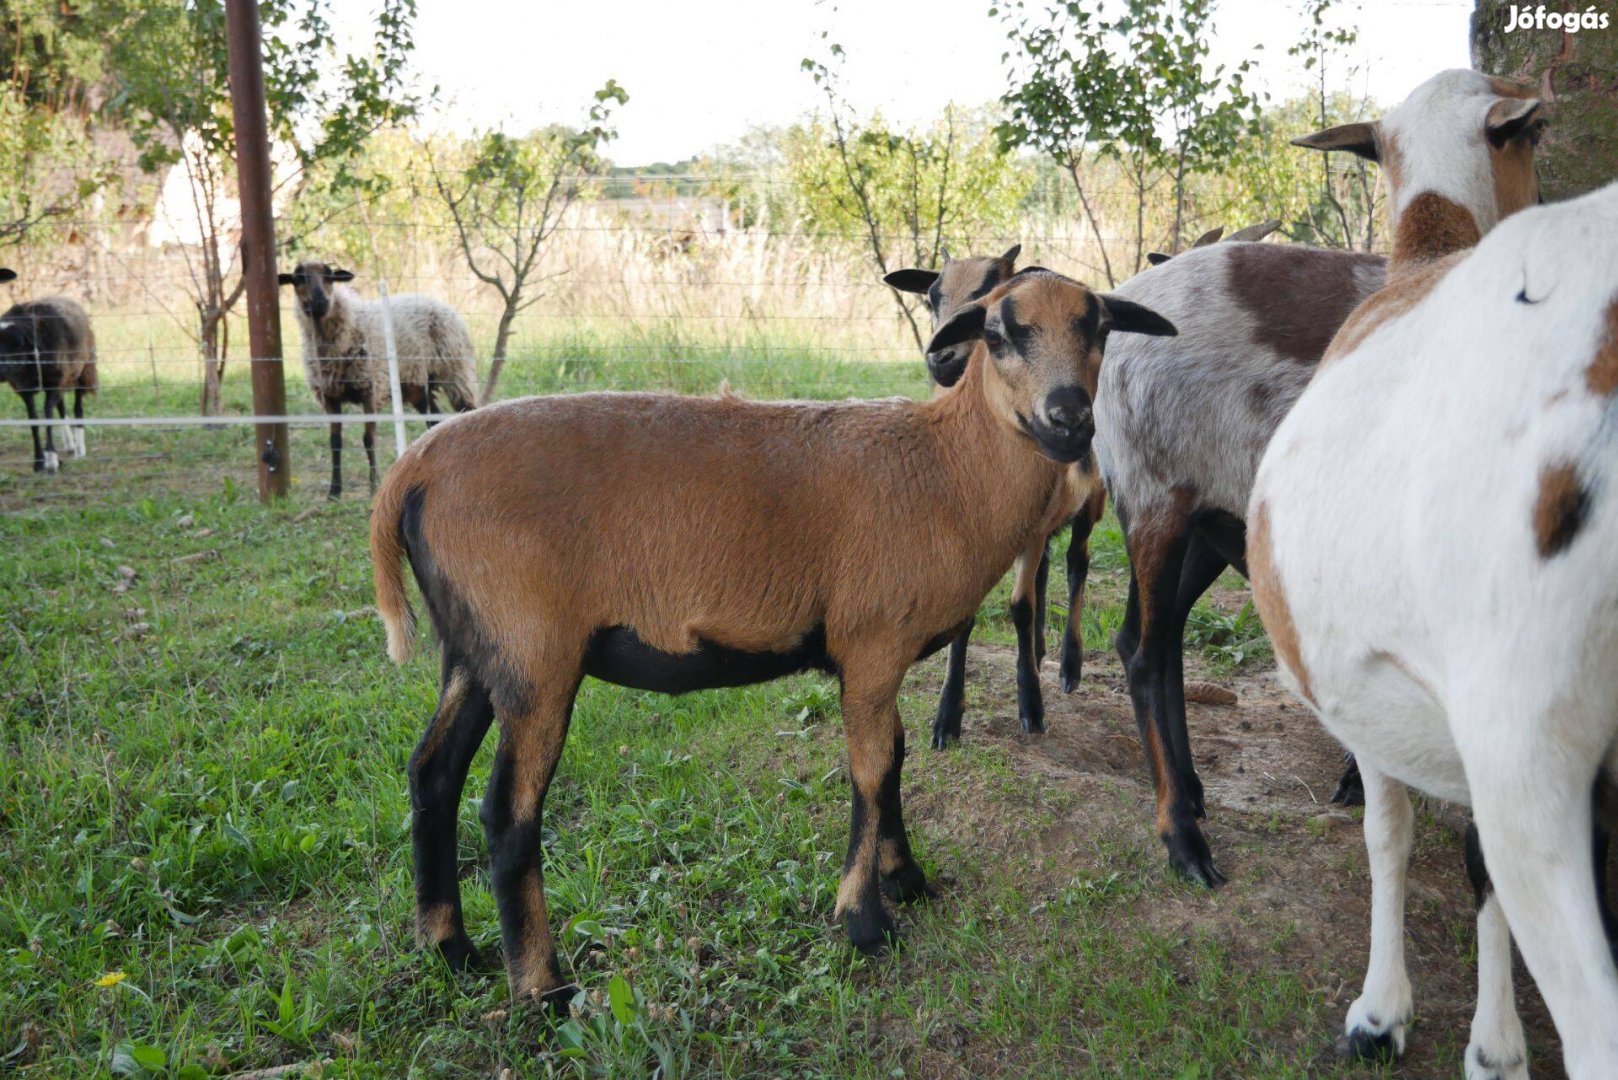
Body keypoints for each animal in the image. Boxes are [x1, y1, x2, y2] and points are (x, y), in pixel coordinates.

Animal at [281, 259, 478, 501]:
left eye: (330, 276)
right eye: (298, 278)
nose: (320, 301)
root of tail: (436, 301)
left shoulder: (369, 389)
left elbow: (369, 439)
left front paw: (373, 485)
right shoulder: (330, 397)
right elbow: (335, 442)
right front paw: (334, 491)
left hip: (455, 371)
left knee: (468, 411)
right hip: (417, 384)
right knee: (435, 421)